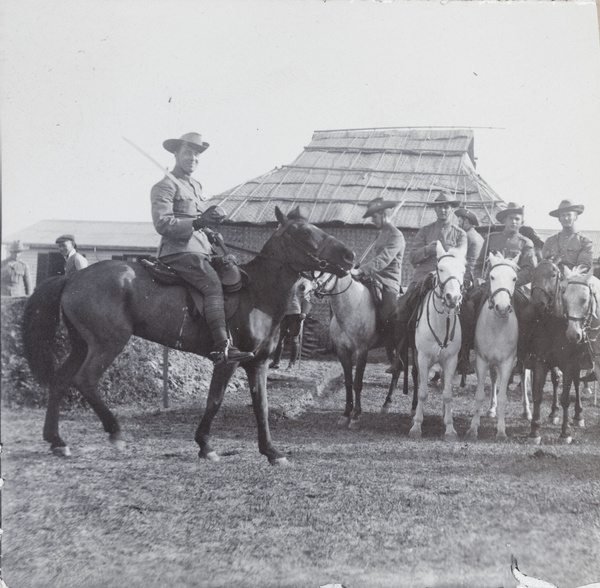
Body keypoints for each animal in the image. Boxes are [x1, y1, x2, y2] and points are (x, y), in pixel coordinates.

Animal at [23, 209, 354, 466]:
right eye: (304, 232)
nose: (349, 256)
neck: (257, 294)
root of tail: (73, 276)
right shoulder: (228, 361)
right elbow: (215, 401)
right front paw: (205, 445)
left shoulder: (257, 364)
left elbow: (261, 408)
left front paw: (272, 452)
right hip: (108, 343)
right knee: (86, 380)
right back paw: (115, 432)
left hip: (82, 344)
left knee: (61, 380)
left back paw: (57, 441)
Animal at [410, 241, 466, 438]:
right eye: (440, 268)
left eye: (463, 270)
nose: (453, 298)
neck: (442, 323)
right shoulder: (422, 358)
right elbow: (423, 392)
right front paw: (416, 426)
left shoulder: (451, 360)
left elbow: (448, 393)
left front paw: (450, 428)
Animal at [466, 250, 516, 438]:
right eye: (492, 277)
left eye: (514, 278)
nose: (502, 307)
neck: (497, 326)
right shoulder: (481, 360)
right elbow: (479, 394)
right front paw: (473, 428)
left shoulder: (508, 363)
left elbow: (503, 397)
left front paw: (501, 431)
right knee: (493, 379)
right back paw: (491, 409)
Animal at [528, 260, 584, 444]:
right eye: (533, 274)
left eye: (553, 275)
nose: (537, 304)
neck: (553, 326)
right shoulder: (540, 362)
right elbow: (537, 394)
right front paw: (535, 430)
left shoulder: (569, 364)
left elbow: (566, 397)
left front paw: (565, 432)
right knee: (555, 380)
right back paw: (553, 412)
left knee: (576, 382)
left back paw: (578, 415)